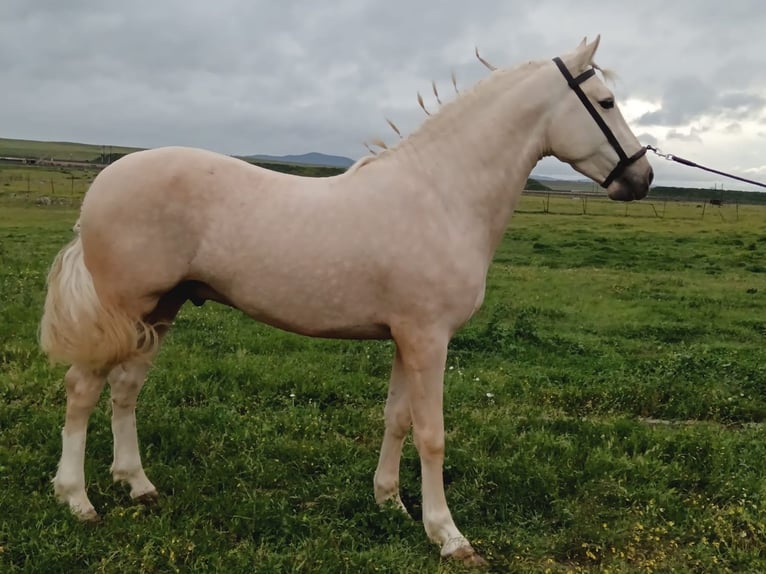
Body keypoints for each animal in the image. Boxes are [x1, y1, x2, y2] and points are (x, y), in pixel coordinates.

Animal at [39, 37, 656, 568]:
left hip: (160, 310)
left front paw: (390, 503)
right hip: (124, 309)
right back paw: (76, 500)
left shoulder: (406, 339)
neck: (442, 195)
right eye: (606, 102)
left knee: (125, 389)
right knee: (83, 390)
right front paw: (449, 537)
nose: (644, 176)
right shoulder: (429, 339)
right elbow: (432, 435)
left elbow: (397, 420)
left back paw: (137, 484)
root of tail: (103, 182)